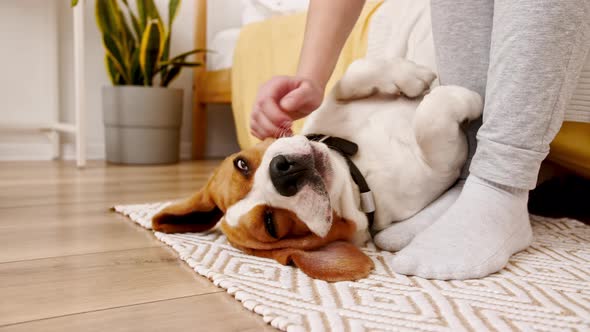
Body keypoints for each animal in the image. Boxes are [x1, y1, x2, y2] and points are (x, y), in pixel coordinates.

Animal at [153, 58, 486, 282]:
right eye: (272, 224)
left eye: (242, 164)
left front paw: (411, 76)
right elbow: (430, 120)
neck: (357, 171)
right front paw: (466, 99)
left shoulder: (330, 104)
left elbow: (351, 74)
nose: (281, 172)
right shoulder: (440, 165)